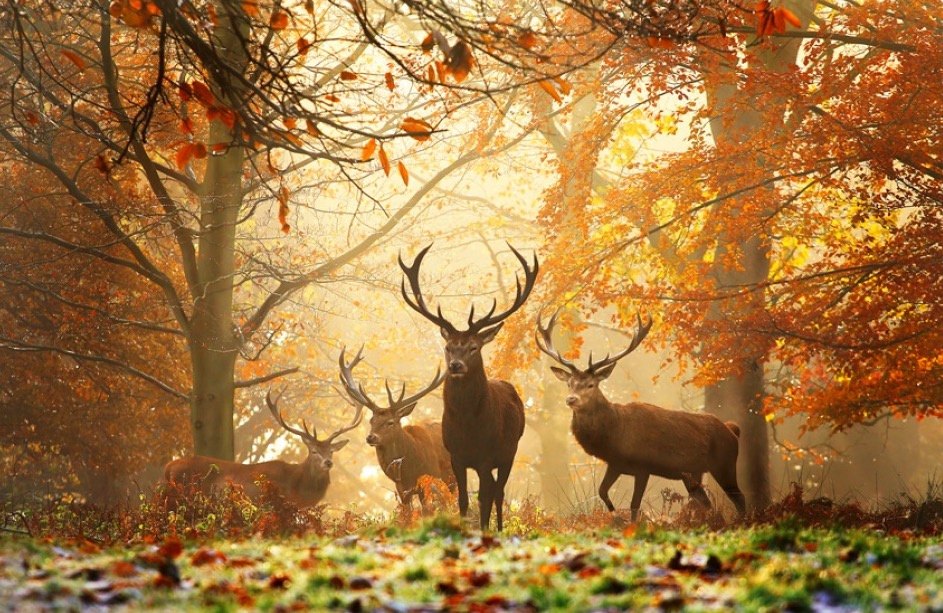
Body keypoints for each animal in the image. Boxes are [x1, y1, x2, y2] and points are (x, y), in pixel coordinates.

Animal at [337, 346, 455, 515]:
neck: (408, 471)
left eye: (390, 422)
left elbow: (427, 511)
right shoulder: (401, 489)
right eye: (371, 421)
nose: (371, 437)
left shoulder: (429, 478)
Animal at [399, 243, 538, 531]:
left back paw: (499, 529)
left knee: (498, 492)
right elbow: (462, 499)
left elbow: (484, 498)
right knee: (494, 490)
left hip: (509, 451)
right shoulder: (456, 456)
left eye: (474, 347)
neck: (468, 427)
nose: (455, 365)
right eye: (448, 347)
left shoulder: (486, 456)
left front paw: (484, 531)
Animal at [536, 311, 746, 522]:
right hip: (693, 473)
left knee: (739, 498)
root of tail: (732, 430)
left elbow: (634, 504)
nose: (571, 399)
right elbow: (602, 491)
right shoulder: (616, 463)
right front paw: (616, 518)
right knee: (706, 502)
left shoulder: (643, 466)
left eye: (590, 384)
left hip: (725, 463)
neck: (614, 434)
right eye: (569, 383)